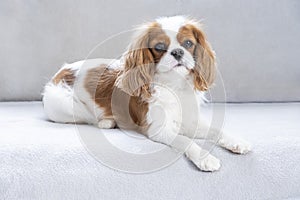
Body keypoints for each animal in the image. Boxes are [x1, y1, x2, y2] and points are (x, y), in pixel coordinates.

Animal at [42, 16, 251, 172]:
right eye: (159, 47)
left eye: (188, 43)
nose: (177, 52)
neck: (174, 85)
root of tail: (61, 70)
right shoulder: (158, 129)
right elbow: (185, 141)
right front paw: (205, 157)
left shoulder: (189, 122)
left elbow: (216, 130)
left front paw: (236, 141)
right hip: (65, 106)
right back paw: (107, 122)